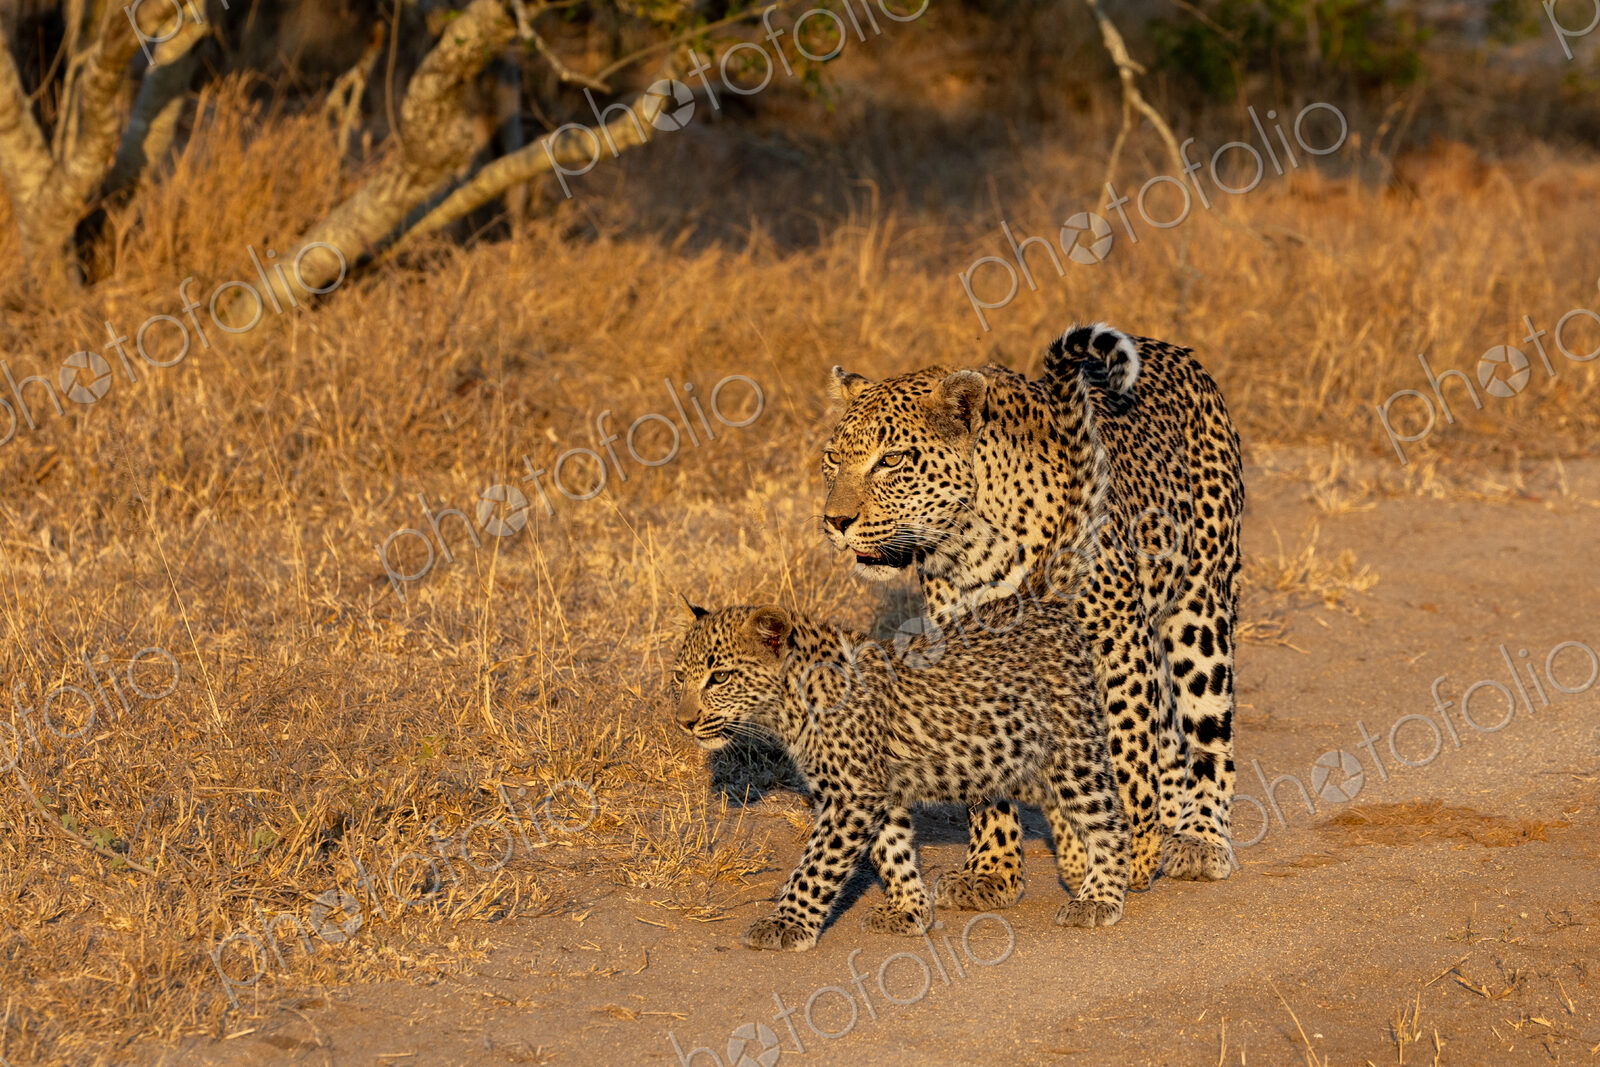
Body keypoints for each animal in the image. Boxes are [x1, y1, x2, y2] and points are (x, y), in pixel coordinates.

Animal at [670, 595, 1130, 952]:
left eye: (720, 677)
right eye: (679, 677)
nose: (684, 723)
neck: (791, 705)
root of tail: (1052, 610)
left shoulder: (852, 796)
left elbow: (817, 866)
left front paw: (786, 924)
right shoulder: (877, 792)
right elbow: (892, 852)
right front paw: (909, 910)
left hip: (1072, 751)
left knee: (1110, 819)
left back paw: (1098, 898)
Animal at [820, 322, 1245, 907]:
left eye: (892, 460)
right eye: (832, 459)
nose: (835, 521)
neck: (971, 539)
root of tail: (1168, 347)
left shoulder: (1112, 639)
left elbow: (1126, 752)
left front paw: (1132, 855)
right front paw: (991, 872)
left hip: (1200, 603)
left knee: (1205, 730)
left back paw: (1197, 838)